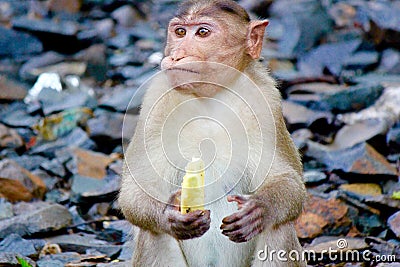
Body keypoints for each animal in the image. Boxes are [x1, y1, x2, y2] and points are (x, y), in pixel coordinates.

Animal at [119, 1, 306, 266]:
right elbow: (135, 191)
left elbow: (289, 182)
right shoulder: (155, 103)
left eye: (202, 33)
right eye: (180, 32)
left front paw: (260, 210)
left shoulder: (266, 101)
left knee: (277, 228)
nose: (177, 54)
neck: (211, 96)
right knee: (154, 234)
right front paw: (170, 216)